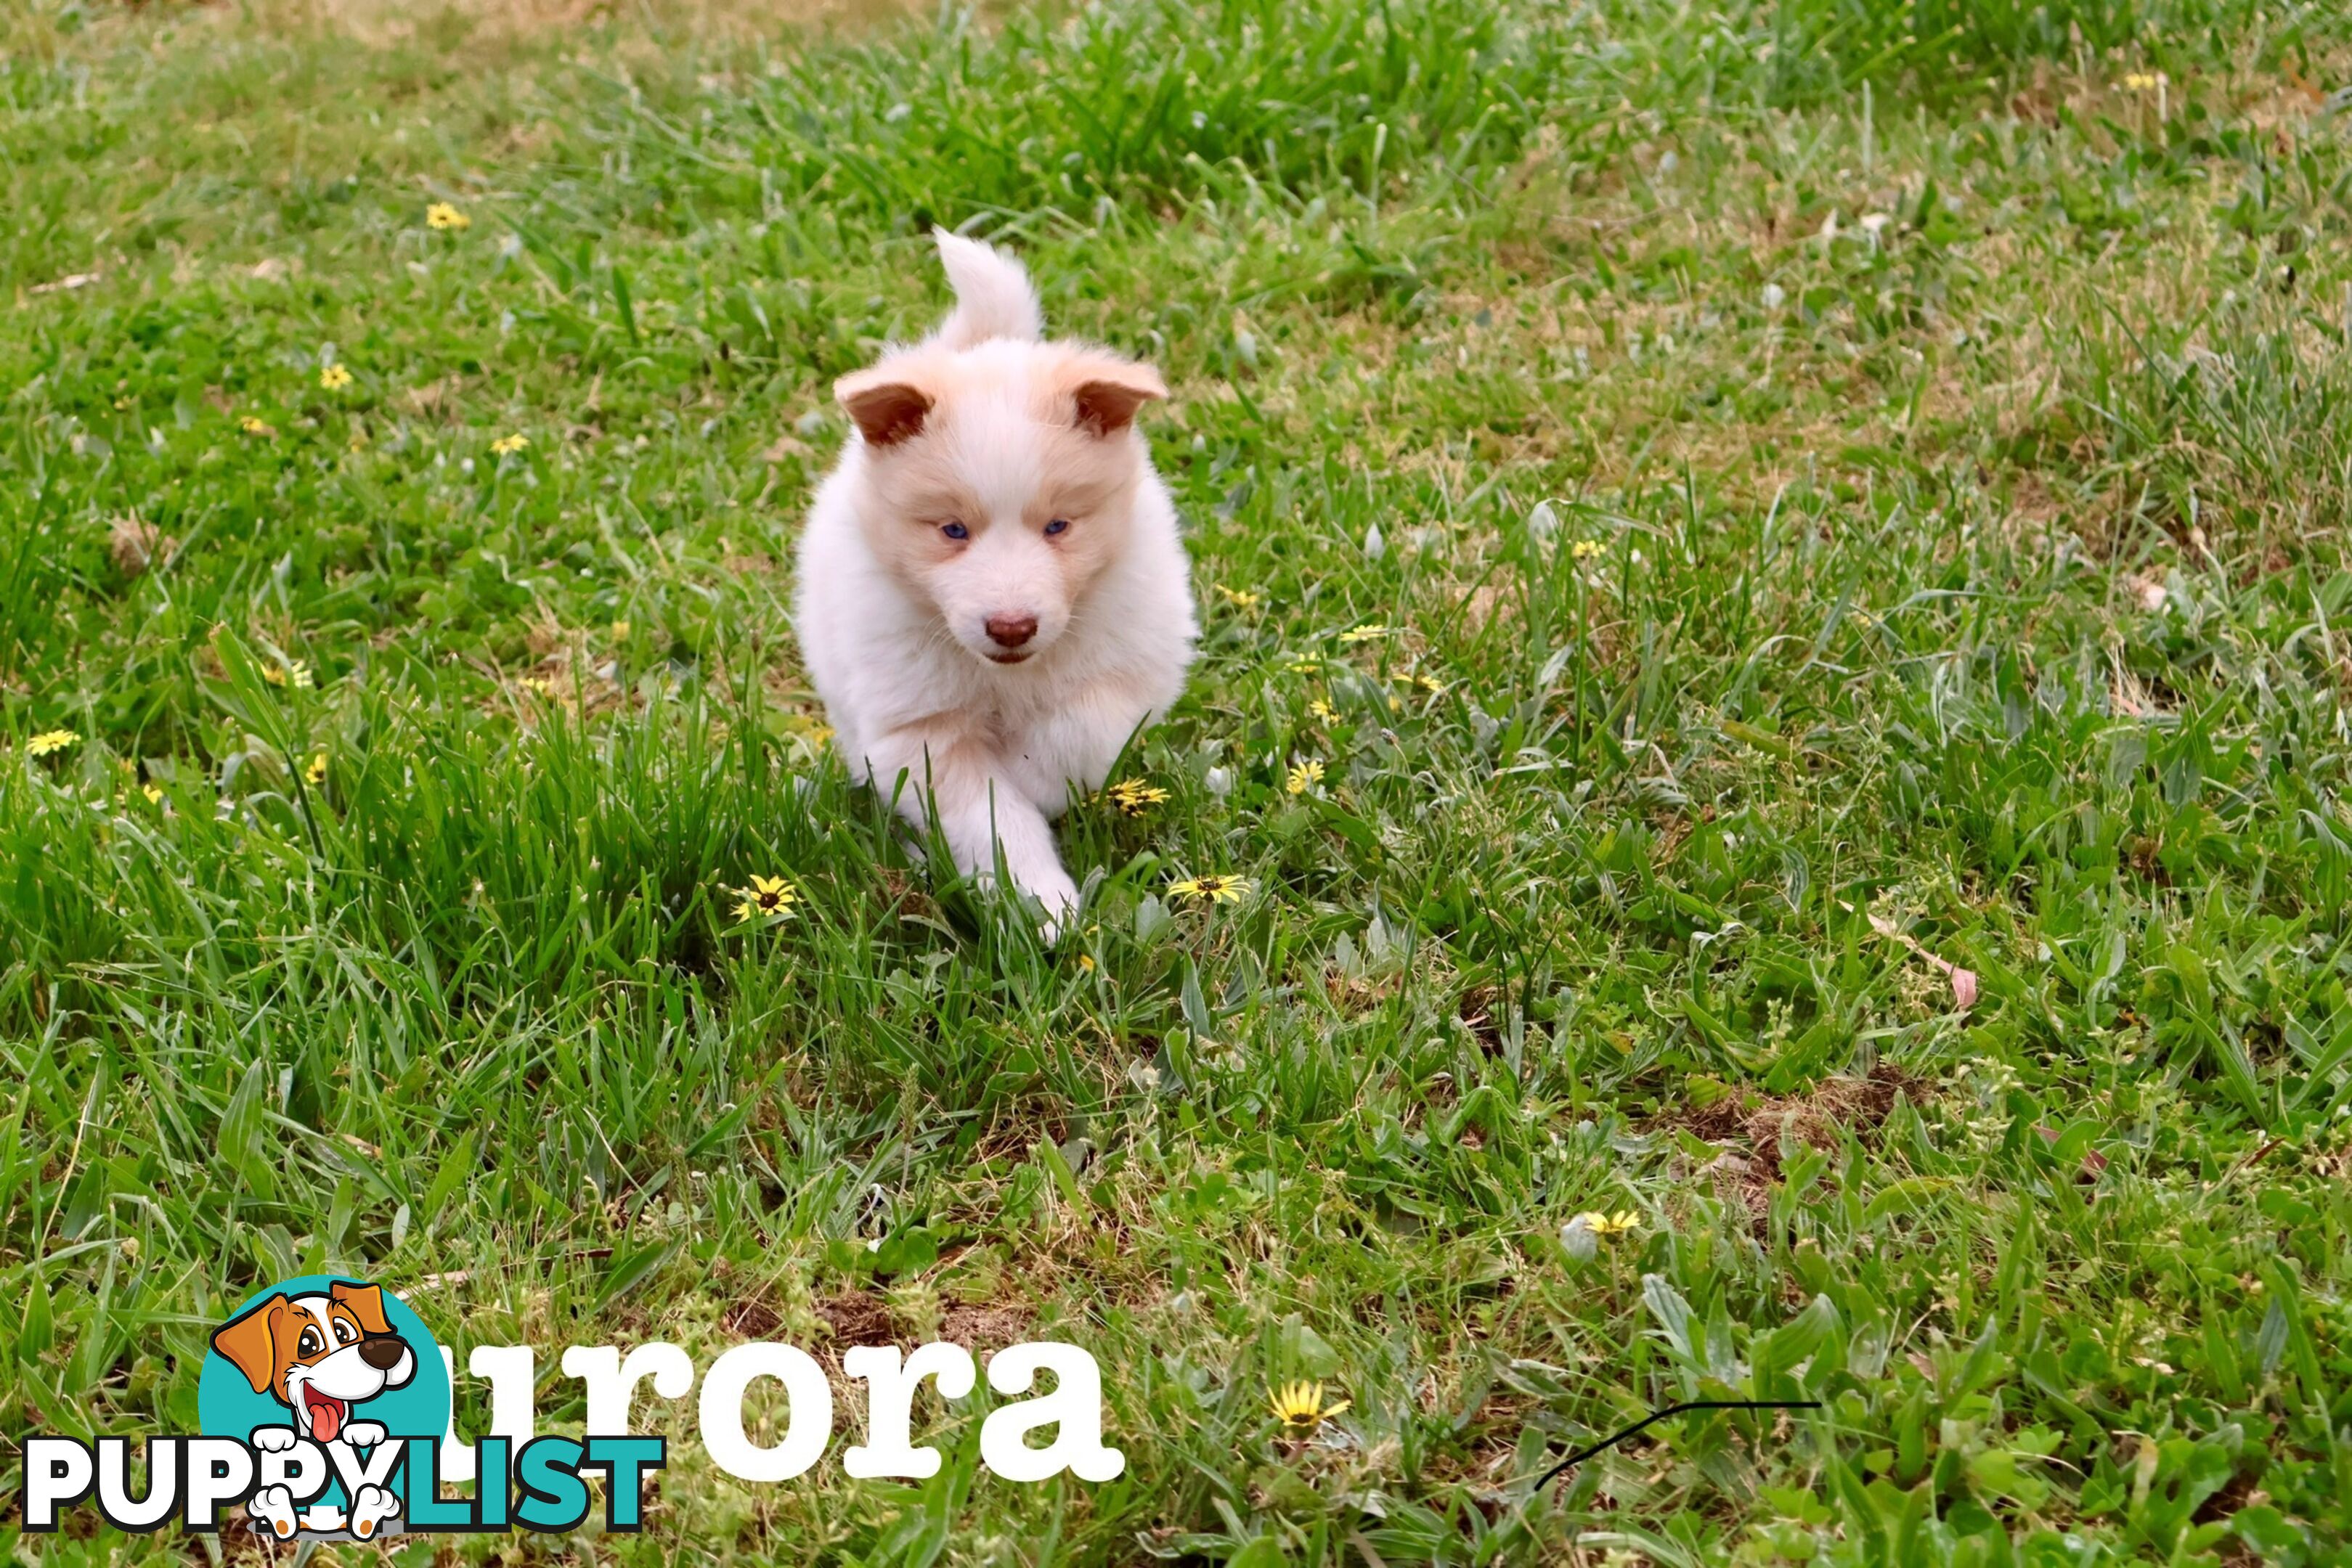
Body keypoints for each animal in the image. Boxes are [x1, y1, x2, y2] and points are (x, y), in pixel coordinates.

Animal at [794, 232, 1195, 931]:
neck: (1008, 679)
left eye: (1059, 525)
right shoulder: (918, 731)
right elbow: (992, 817)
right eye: (952, 530)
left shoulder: (1133, 662)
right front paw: (1041, 903)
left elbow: (1079, 730)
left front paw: (1038, 780)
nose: (1011, 627)